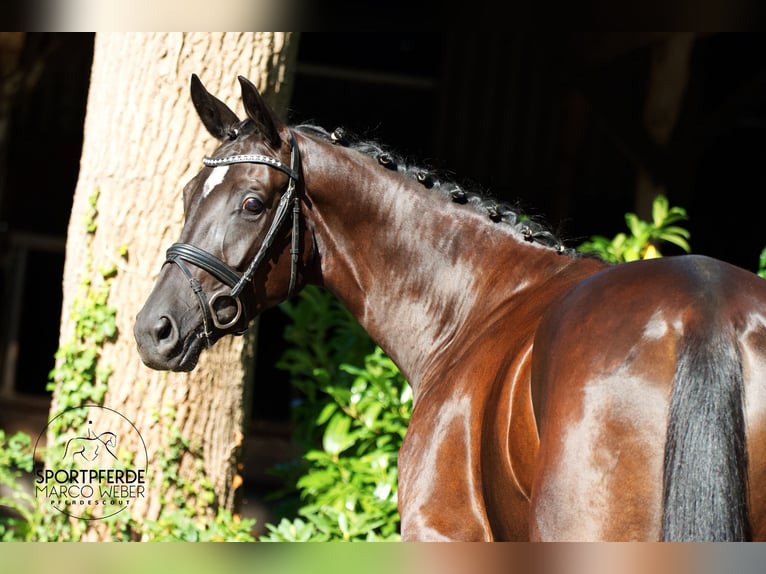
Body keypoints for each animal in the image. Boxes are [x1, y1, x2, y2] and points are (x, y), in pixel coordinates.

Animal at [134, 74, 766, 541]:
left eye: (251, 203)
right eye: (188, 196)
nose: (152, 330)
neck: (477, 303)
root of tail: (702, 310)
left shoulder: (443, 532)